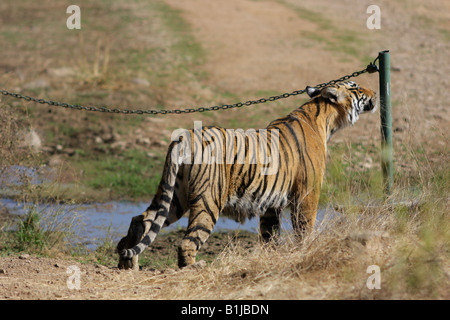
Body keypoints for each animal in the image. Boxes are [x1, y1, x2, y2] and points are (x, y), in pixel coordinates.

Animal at [117, 80, 376, 270]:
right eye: (356, 87)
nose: (374, 92)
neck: (324, 118)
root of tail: (186, 135)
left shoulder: (271, 204)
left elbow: (270, 237)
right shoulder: (307, 194)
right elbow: (305, 229)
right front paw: (306, 251)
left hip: (175, 196)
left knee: (141, 219)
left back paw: (127, 263)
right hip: (208, 199)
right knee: (186, 241)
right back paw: (192, 267)